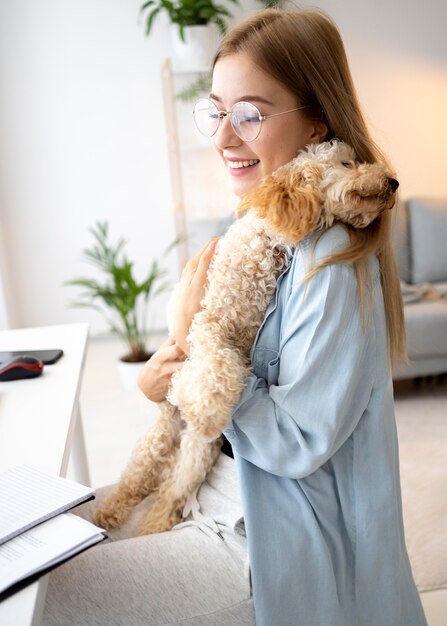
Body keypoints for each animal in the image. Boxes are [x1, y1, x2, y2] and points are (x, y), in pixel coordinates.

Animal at [93, 140, 400, 532]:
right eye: (347, 163)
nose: (393, 182)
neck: (268, 244)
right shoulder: (208, 323)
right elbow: (215, 363)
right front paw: (207, 410)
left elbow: (224, 368)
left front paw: (206, 409)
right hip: (164, 432)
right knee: (140, 469)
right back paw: (110, 511)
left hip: (196, 451)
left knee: (170, 488)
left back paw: (152, 522)